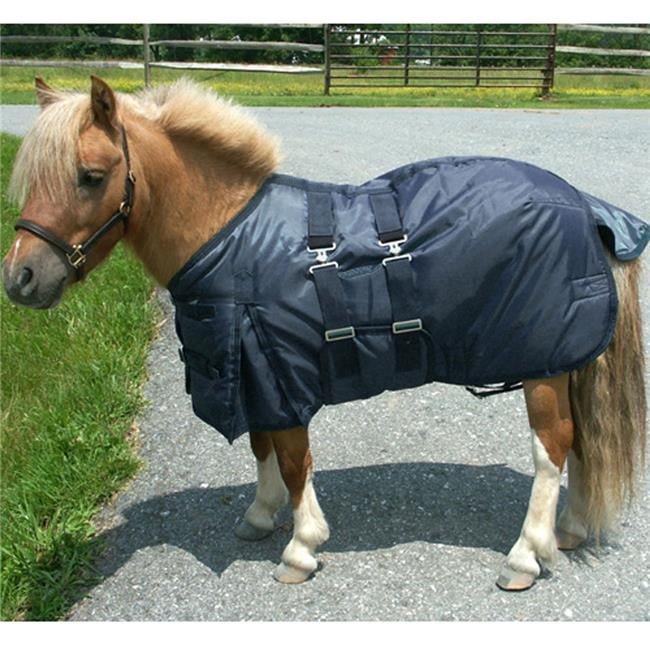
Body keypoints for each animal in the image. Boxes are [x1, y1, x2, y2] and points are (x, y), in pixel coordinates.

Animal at [3, 76, 646, 592]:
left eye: (91, 176)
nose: (20, 278)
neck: (231, 237)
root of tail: (584, 204)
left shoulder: (281, 371)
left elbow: (293, 462)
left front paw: (301, 545)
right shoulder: (257, 374)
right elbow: (263, 448)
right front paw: (261, 516)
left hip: (544, 366)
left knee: (552, 449)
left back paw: (525, 556)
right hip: (563, 365)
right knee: (580, 444)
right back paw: (567, 532)